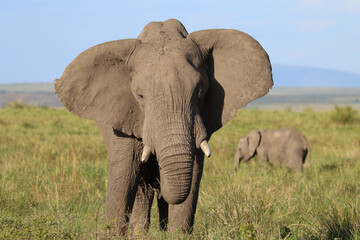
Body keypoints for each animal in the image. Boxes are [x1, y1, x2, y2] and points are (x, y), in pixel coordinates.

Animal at [54, 19, 272, 236]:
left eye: (200, 91)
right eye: (140, 96)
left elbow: (192, 176)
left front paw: (177, 234)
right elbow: (124, 176)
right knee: (141, 188)